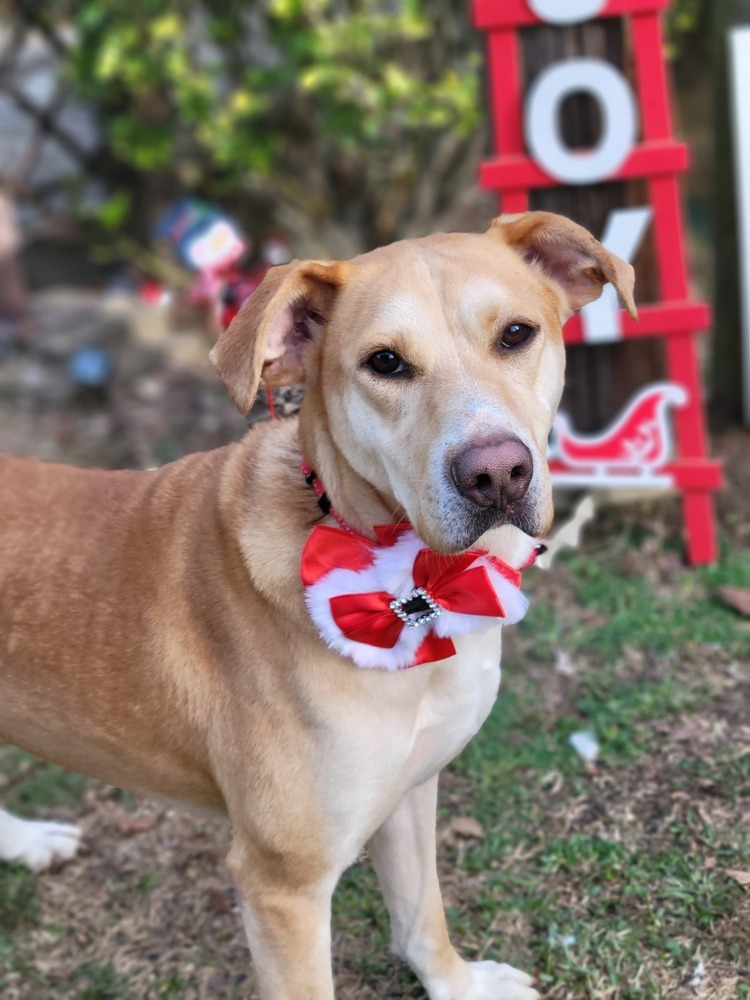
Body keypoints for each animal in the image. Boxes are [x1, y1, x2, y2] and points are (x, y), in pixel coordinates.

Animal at [0, 213, 636, 1000]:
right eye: (385, 362)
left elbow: (422, 916)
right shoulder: (283, 887)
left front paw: (459, 985)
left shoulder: (408, 790)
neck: (420, 580)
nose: (497, 474)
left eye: (516, 334)